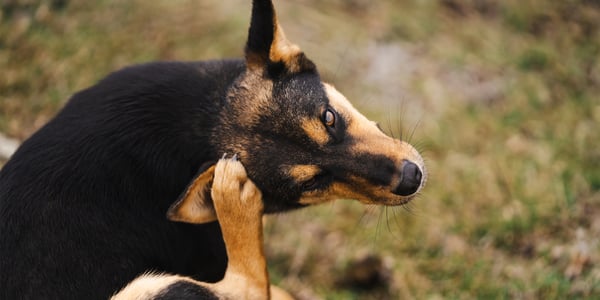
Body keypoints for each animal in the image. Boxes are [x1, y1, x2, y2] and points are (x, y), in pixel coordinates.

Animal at [0, 1, 426, 298]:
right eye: (310, 184)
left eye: (329, 118)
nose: (411, 178)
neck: (201, 124)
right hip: (148, 290)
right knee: (249, 286)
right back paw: (232, 199)